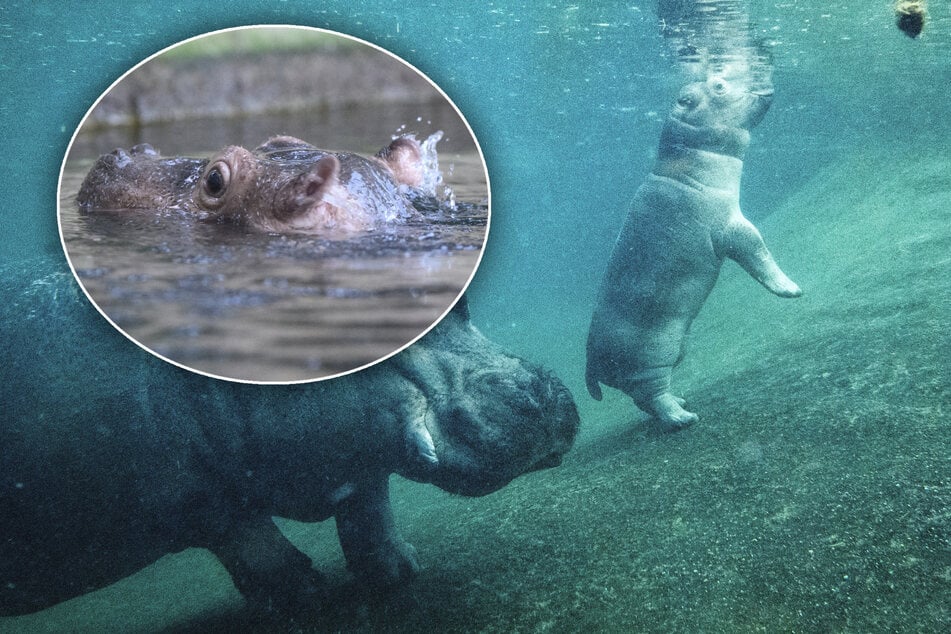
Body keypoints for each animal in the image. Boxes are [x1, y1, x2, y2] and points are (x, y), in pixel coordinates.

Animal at [0, 255, 579, 616]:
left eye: (460, 300)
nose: (534, 394)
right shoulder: (203, 504)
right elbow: (263, 553)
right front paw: (308, 599)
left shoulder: (358, 459)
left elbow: (371, 520)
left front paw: (401, 572)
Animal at [586, 67, 801, 427]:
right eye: (719, 84)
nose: (763, 77)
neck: (689, 155)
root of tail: (589, 361)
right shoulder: (732, 227)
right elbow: (759, 252)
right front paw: (792, 290)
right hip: (650, 359)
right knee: (652, 394)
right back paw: (683, 418)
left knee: (645, 399)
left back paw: (682, 401)